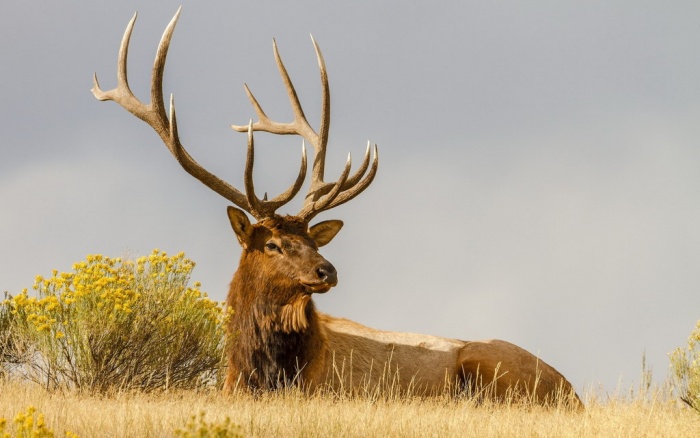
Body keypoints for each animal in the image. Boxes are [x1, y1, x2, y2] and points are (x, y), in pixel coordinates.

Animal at [95, 8, 584, 408]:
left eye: (314, 240)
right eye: (272, 244)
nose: (326, 270)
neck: (262, 373)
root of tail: (572, 392)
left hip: (488, 365)